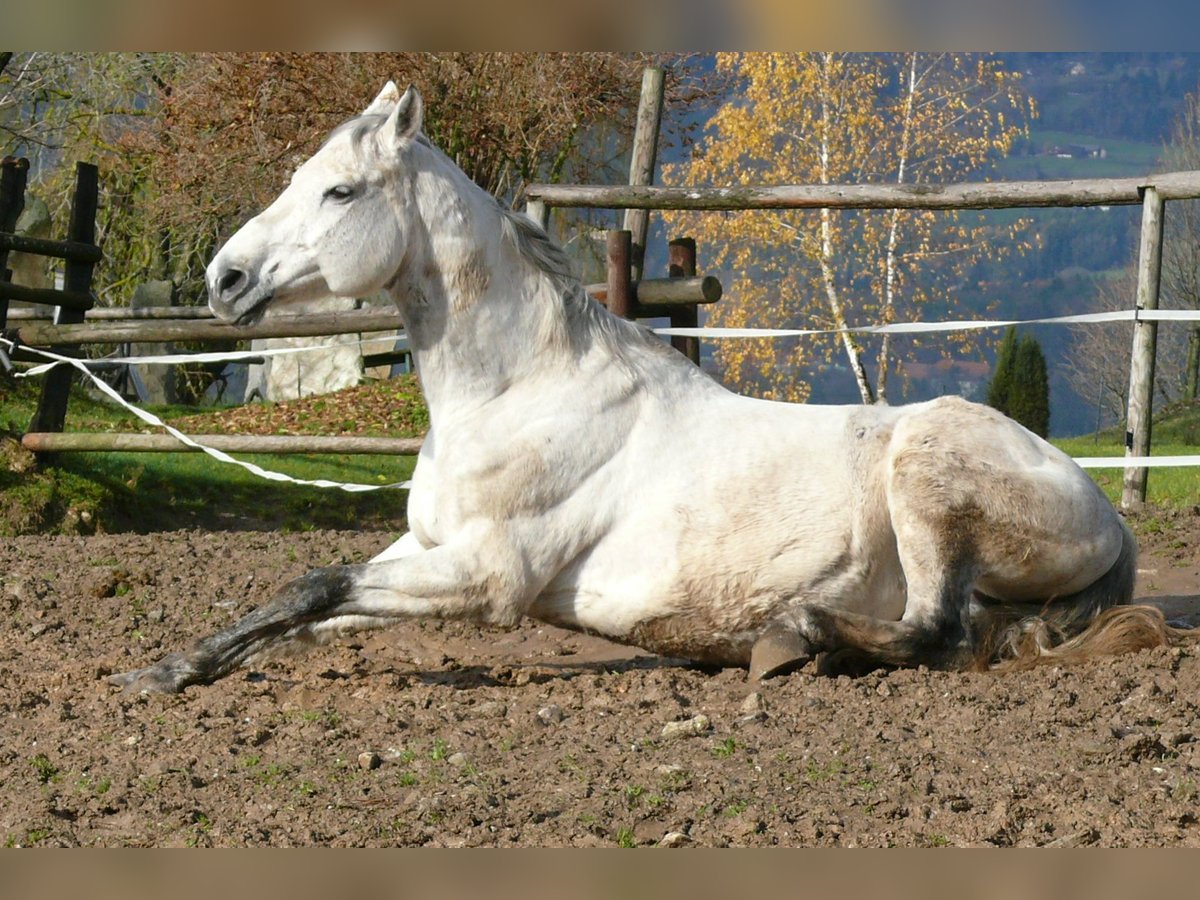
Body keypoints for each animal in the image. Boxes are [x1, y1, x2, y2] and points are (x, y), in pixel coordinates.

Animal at [110, 81, 1180, 696]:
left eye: (340, 192)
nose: (224, 279)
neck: (522, 390)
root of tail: (1103, 511)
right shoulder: (421, 549)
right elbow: (303, 603)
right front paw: (166, 669)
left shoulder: (488, 575)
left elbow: (316, 584)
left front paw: (159, 676)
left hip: (928, 476)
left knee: (939, 634)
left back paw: (788, 637)